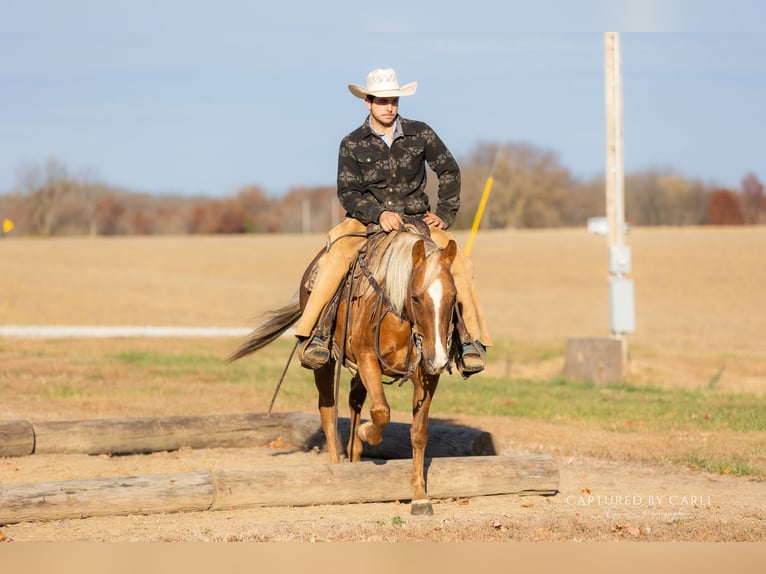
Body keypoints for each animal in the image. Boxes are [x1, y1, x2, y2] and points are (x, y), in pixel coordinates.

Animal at [230, 221, 459, 515]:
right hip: (325, 364)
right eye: (417, 298)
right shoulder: (367, 358)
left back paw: (354, 455)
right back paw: (337, 468)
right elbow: (381, 411)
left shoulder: (425, 376)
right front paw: (366, 433)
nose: (438, 358)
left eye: (453, 297)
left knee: (354, 400)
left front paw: (420, 496)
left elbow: (418, 433)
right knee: (328, 410)